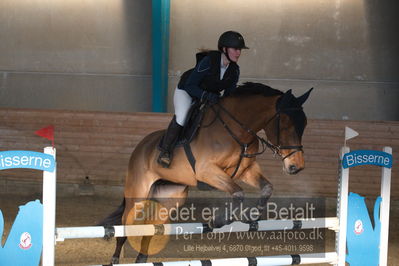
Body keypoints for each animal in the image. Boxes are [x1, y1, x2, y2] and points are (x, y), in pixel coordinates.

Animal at [100, 82, 312, 264]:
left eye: (304, 126)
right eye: (286, 125)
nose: (297, 166)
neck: (237, 130)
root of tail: (141, 146)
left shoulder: (245, 171)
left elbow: (266, 188)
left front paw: (252, 215)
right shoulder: (207, 171)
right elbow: (238, 193)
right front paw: (218, 221)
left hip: (169, 199)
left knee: (150, 227)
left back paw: (142, 259)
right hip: (137, 194)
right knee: (125, 226)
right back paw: (115, 259)